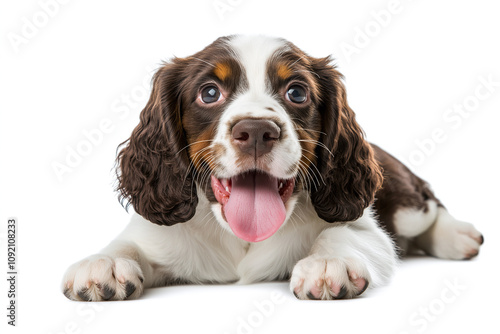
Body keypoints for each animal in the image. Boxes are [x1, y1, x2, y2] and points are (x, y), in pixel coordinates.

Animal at [60, 35, 482, 302]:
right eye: (209, 92)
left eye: (297, 92)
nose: (257, 131)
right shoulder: (158, 232)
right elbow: (127, 243)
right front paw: (102, 264)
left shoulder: (370, 231)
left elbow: (343, 232)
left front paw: (327, 263)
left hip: (406, 204)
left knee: (427, 203)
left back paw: (458, 236)